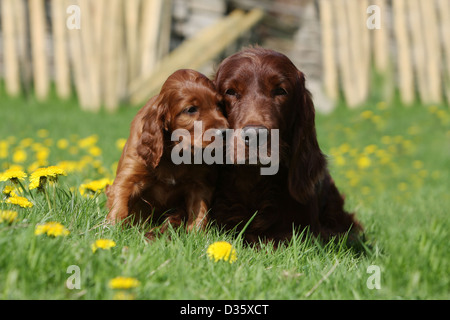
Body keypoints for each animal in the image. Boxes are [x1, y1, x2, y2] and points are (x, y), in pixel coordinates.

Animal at [106, 69, 229, 236]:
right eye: (191, 109)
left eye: (219, 105)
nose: (225, 132)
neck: (174, 152)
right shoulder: (129, 176)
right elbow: (119, 204)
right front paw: (112, 230)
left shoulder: (200, 183)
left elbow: (199, 211)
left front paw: (196, 236)